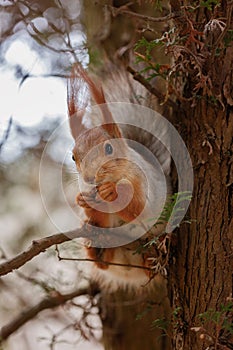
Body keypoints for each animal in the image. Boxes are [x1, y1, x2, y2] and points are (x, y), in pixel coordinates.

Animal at [67, 63, 171, 290]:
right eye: (73, 156)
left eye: (108, 148)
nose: (89, 178)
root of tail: (130, 271)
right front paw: (82, 200)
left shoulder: (144, 182)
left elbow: (141, 209)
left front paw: (113, 192)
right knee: (105, 264)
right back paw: (97, 249)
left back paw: (150, 260)